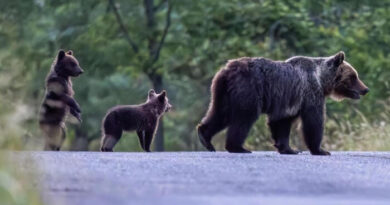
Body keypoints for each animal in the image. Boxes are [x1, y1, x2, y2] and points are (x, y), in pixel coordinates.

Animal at [198, 51, 368, 155]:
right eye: (353, 76)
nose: (365, 89)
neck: (321, 80)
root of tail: (227, 70)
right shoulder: (310, 93)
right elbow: (313, 121)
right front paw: (320, 150)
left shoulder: (290, 101)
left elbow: (282, 123)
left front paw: (289, 149)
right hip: (248, 89)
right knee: (244, 118)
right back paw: (238, 147)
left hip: (222, 92)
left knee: (220, 114)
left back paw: (205, 138)